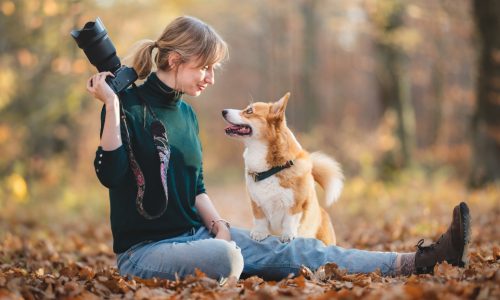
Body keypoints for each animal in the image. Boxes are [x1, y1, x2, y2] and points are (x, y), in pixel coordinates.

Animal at [223, 92, 344, 245]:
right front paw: (259, 233)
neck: (270, 170)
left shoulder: (295, 205)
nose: (223, 111)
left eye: (249, 111)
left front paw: (288, 235)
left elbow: (289, 221)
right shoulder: (256, 203)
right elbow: (260, 220)